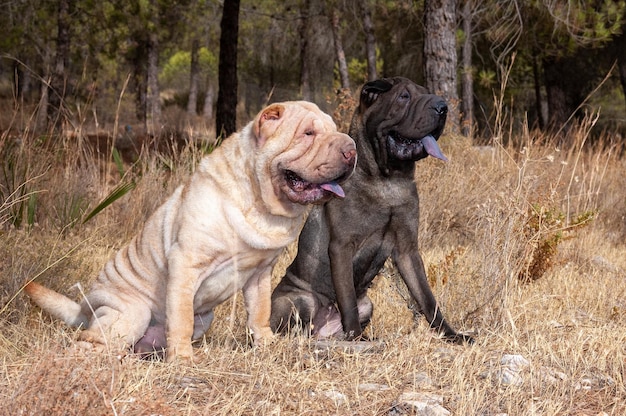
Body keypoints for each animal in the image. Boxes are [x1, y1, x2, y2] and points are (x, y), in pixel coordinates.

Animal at [25, 102, 356, 362]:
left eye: (333, 129)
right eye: (308, 134)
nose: (351, 148)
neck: (259, 203)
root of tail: (84, 308)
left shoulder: (260, 274)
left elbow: (260, 312)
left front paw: (266, 343)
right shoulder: (186, 264)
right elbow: (180, 319)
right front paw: (183, 359)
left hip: (203, 318)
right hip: (131, 313)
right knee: (88, 342)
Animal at [270, 78, 472, 344]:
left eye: (426, 93)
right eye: (404, 97)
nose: (442, 107)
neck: (387, 180)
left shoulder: (407, 249)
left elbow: (427, 298)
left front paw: (451, 334)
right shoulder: (342, 247)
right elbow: (347, 301)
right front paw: (354, 338)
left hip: (368, 305)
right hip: (300, 299)